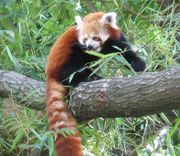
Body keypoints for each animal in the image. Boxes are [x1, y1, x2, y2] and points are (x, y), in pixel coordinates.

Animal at [45, 11, 146, 155]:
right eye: (85, 39)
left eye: (95, 37)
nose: (89, 46)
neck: (101, 49)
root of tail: (49, 72)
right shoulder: (80, 46)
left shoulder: (116, 41)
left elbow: (125, 53)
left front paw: (138, 64)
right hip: (65, 58)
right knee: (69, 71)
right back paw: (88, 77)